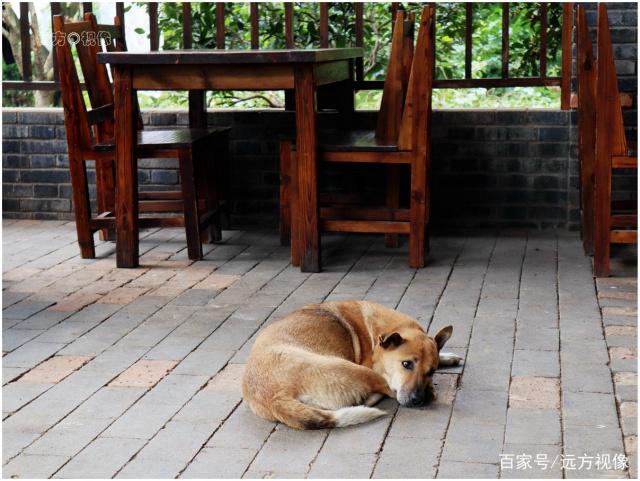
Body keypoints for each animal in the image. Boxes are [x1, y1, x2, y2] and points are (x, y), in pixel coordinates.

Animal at [240, 298, 460, 430]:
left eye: (431, 371)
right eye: (406, 364)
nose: (418, 400)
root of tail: (274, 397)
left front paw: (447, 357)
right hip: (355, 369)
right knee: (385, 390)